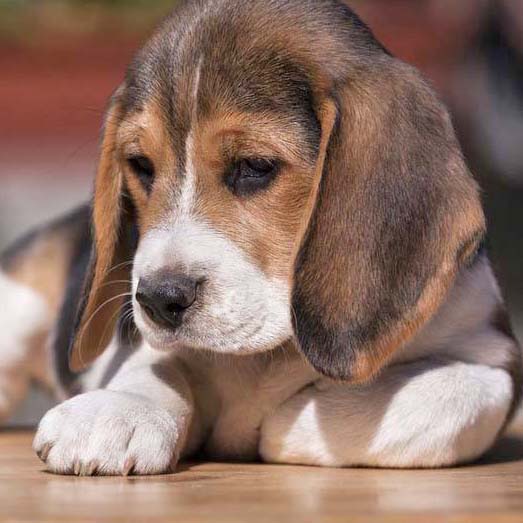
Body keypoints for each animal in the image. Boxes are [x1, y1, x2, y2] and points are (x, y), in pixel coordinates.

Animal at [0, 0, 520, 474]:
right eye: (142, 166)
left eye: (254, 166)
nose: (159, 299)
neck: (272, 350)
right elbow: (154, 364)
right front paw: (121, 411)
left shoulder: (494, 352)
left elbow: (455, 394)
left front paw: (292, 422)